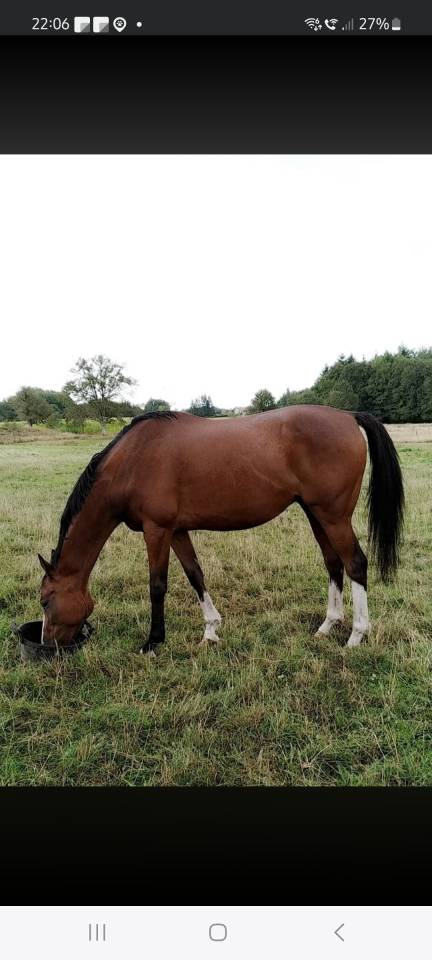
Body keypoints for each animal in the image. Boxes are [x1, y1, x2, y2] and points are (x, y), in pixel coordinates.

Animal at [38, 406, 404, 654]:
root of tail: (348, 416)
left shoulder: (156, 530)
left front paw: (153, 642)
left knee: (355, 563)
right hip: (316, 515)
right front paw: (211, 630)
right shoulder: (176, 531)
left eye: (45, 601)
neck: (132, 461)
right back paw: (328, 626)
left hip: (333, 517)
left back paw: (356, 635)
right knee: (333, 563)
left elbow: (157, 586)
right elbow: (195, 575)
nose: (47, 645)